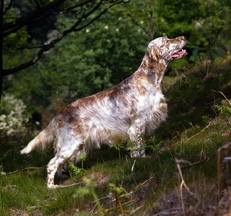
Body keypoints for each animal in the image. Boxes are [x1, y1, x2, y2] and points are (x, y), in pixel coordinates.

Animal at [21, 36, 188, 188]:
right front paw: (141, 160)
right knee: (52, 164)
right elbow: (138, 148)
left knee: (59, 163)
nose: (183, 37)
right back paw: (52, 187)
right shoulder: (137, 124)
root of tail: (59, 115)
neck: (150, 79)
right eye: (166, 41)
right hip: (71, 142)